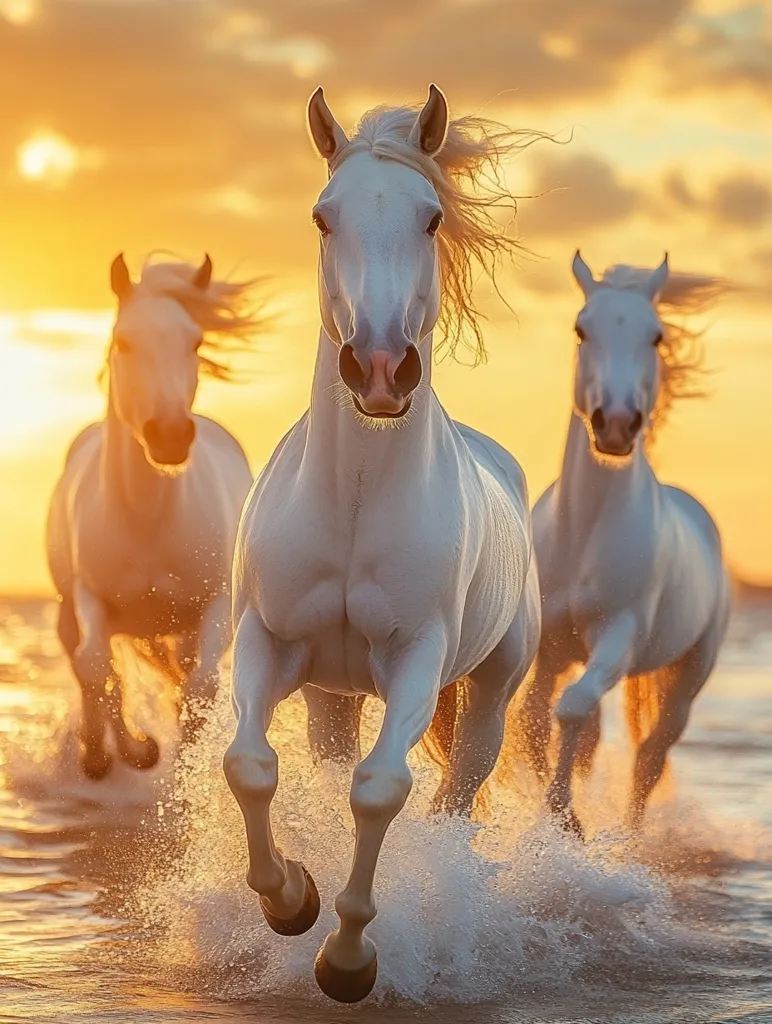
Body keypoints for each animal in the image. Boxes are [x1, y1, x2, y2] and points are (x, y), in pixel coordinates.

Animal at [47, 254, 260, 780]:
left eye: (195, 342)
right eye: (123, 341)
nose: (169, 435)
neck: (147, 520)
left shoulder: (217, 603)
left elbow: (200, 689)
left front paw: (180, 775)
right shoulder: (90, 597)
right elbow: (96, 666)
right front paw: (117, 753)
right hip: (67, 608)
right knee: (89, 664)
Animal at [223, 85, 543, 1003]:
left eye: (431, 218)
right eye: (323, 217)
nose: (377, 367)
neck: (355, 502)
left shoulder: (414, 660)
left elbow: (380, 789)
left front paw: (347, 958)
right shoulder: (267, 641)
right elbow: (250, 766)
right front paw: (291, 898)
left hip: (491, 691)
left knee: (457, 792)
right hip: (331, 694)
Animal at [516, 251, 731, 838]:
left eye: (656, 336)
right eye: (581, 328)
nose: (614, 425)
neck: (584, 533)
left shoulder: (617, 637)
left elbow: (570, 709)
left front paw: (565, 817)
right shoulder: (550, 648)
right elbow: (534, 718)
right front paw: (547, 804)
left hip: (687, 676)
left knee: (651, 755)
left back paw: (633, 838)